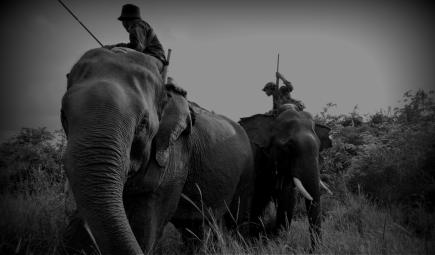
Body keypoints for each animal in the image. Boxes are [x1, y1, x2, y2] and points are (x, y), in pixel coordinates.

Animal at [59, 46, 254, 254]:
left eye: (143, 124)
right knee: (196, 225)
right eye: (63, 116)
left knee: (236, 218)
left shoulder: (176, 152)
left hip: (248, 170)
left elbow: (146, 220)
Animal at [240, 105, 332, 249]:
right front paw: (254, 243)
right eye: (289, 147)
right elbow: (255, 200)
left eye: (319, 147)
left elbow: (287, 199)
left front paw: (279, 241)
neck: (272, 118)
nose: (312, 250)